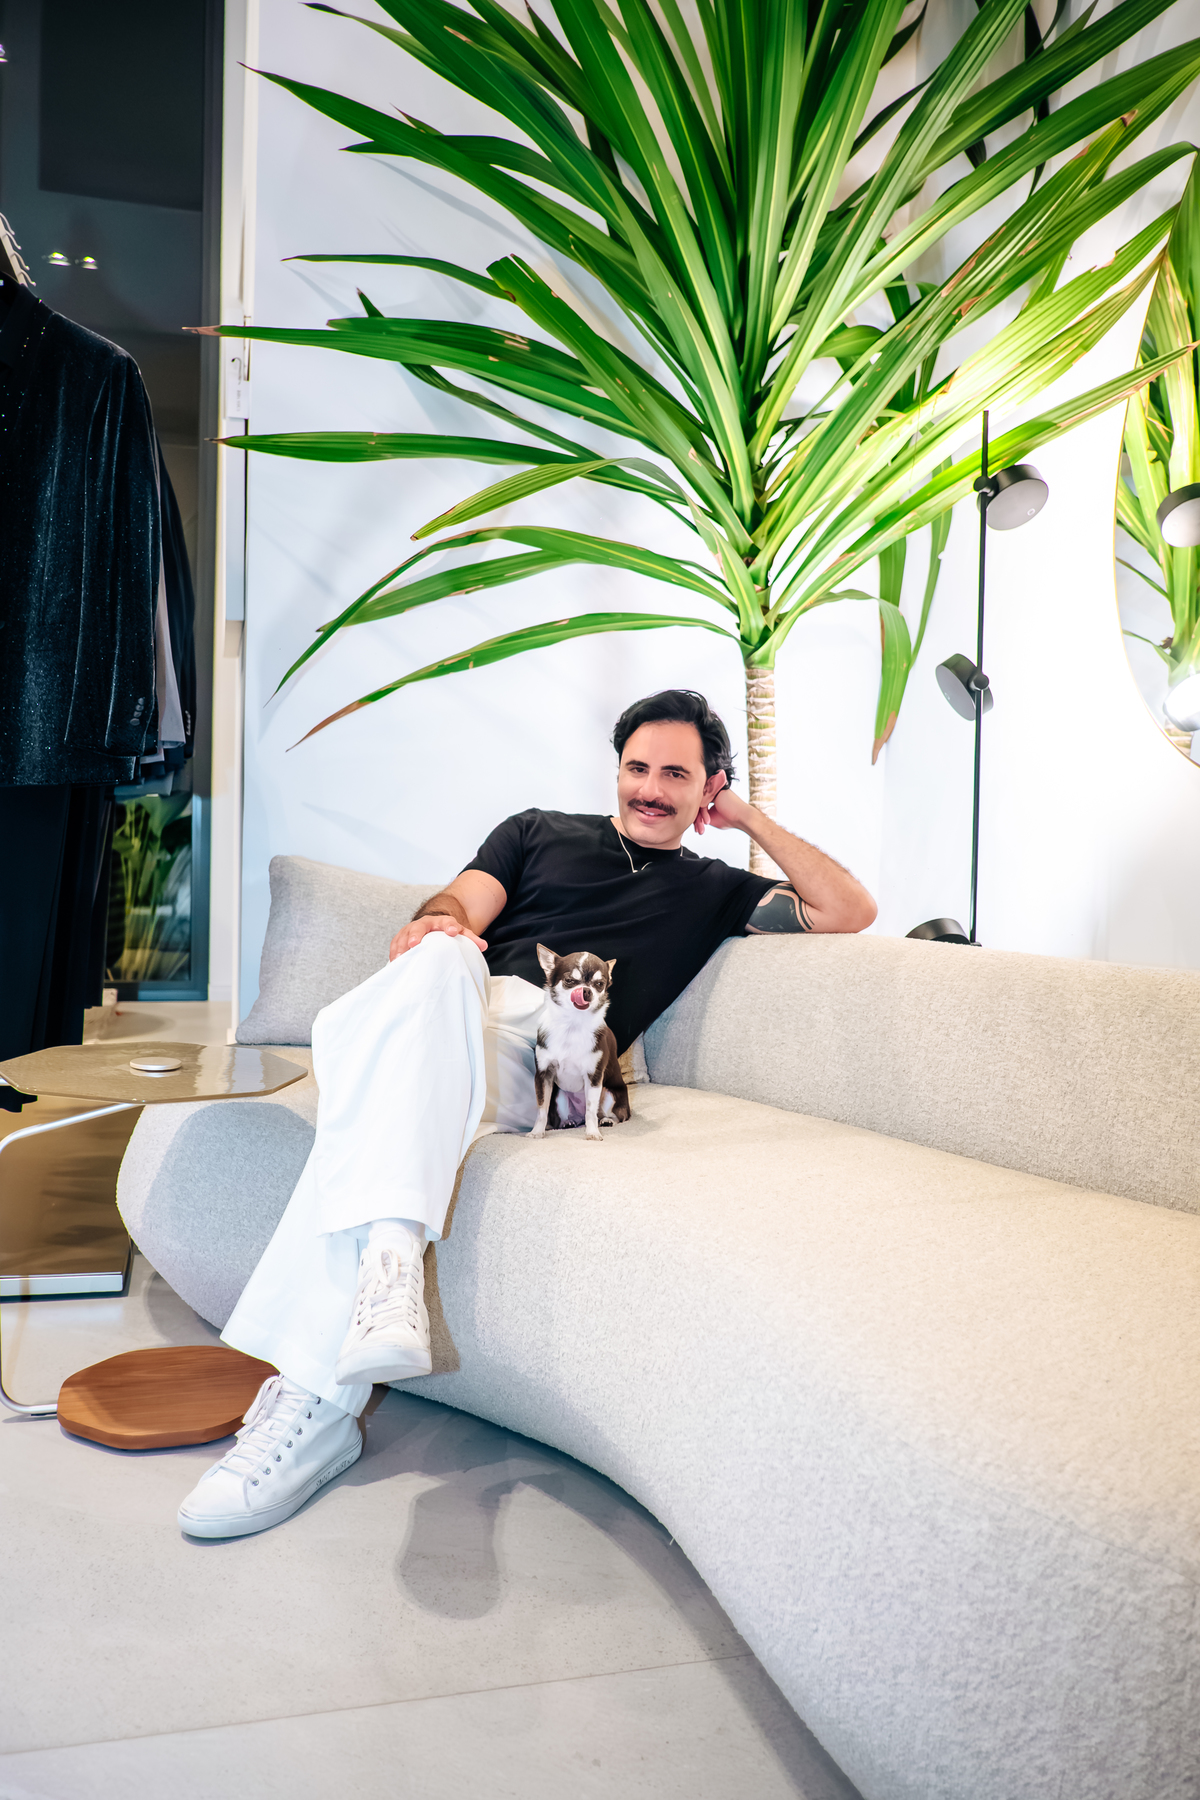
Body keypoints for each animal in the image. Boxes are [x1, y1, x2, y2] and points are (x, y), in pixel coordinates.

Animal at [530, 944, 632, 1142]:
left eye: (599, 984)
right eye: (569, 980)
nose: (586, 991)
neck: (572, 1024)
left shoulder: (594, 1076)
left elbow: (591, 1110)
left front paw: (592, 1133)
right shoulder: (544, 1075)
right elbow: (541, 1108)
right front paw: (537, 1132)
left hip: (608, 1093)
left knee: (614, 1115)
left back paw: (607, 1120)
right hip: (560, 1095)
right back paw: (567, 1122)